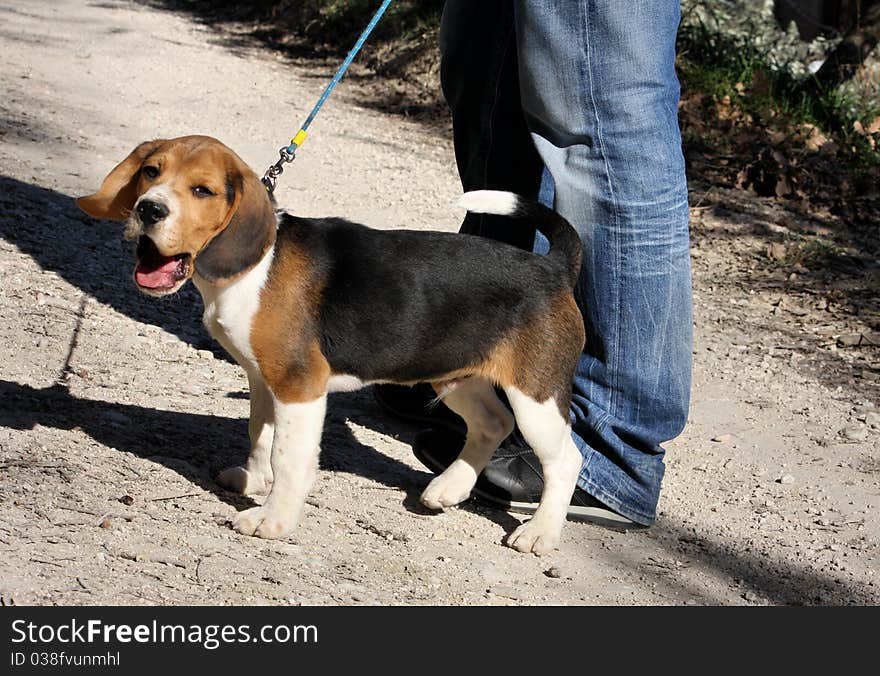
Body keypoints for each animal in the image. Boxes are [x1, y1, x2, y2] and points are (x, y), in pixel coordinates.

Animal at [75, 135, 584, 552]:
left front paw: (272, 521)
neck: (257, 264)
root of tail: (553, 268)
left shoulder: (298, 385)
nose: (148, 210)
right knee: (491, 423)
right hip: (457, 375)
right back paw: (450, 487)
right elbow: (260, 436)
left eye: (202, 191)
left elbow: (288, 457)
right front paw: (253, 481)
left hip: (535, 396)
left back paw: (539, 533)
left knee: (565, 460)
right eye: (151, 172)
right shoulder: (263, 379)